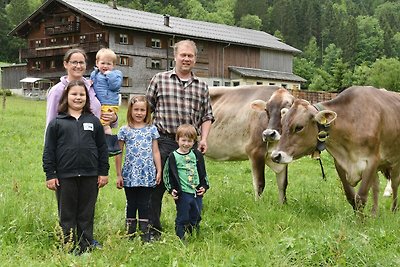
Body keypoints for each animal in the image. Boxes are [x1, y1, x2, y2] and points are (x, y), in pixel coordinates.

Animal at [270, 86, 400, 214]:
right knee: (376, 187)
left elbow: (361, 197)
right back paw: (374, 214)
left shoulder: (372, 161)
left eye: (299, 127)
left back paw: (393, 210)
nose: (275, 156)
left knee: (394, 184)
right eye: (282, 125)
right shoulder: (340, 163)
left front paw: (361, 220)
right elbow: (351, 197)